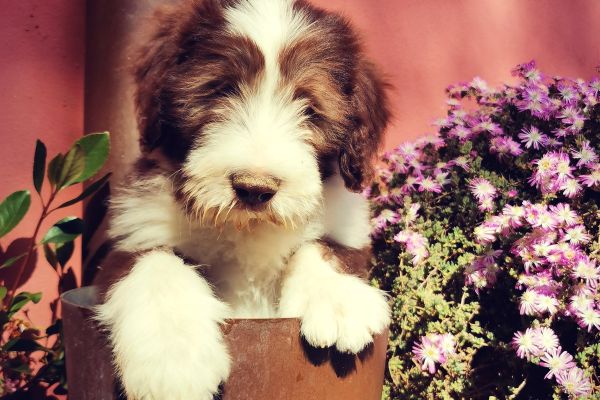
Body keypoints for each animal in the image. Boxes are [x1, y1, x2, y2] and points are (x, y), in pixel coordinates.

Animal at [96, 0, 392, 398]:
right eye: (219, 90)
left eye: (310, 107)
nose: (254, 187)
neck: (248, 230)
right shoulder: (137, 230)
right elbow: (155, 262)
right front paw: (173, 357)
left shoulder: (346, 227)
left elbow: (321, 247)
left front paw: (336, 299)